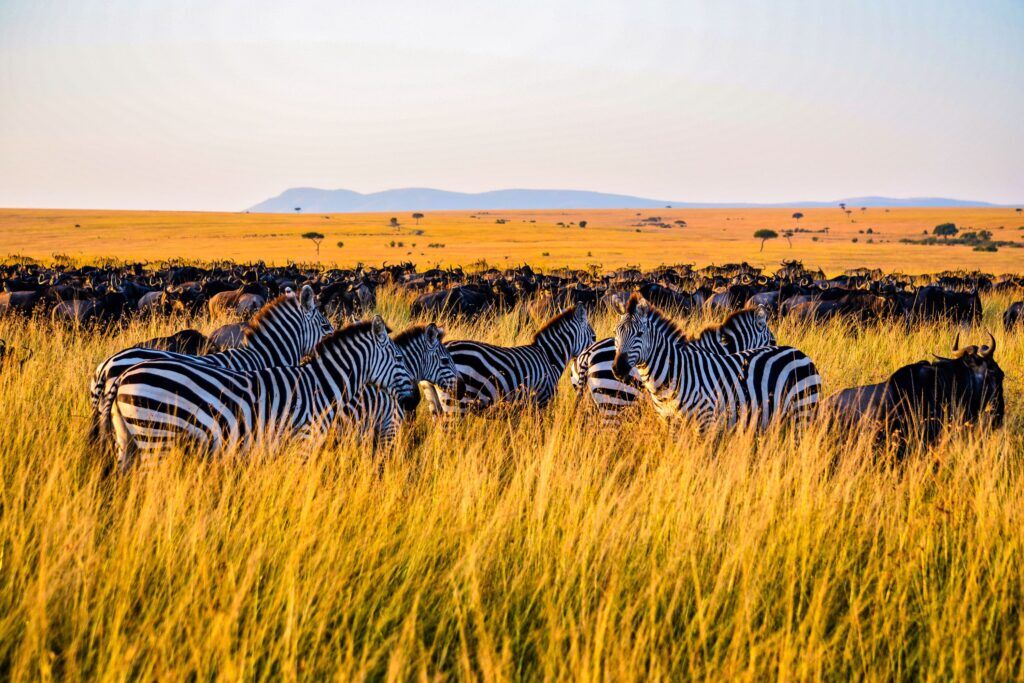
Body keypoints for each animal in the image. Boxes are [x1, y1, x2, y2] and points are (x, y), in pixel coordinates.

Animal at [109, 316, 416, 469]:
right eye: (400, 359)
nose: (415, 401)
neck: (322, 386)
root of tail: (123, 375)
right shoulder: (303, 442)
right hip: (156, 437)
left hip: (128, 440)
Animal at [611, 295, 820, 430]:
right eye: (616, 333)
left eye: (640, 334)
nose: (618, 368)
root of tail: (800, 352)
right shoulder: (670, 422)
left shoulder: (707, 421)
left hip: (803, 411)